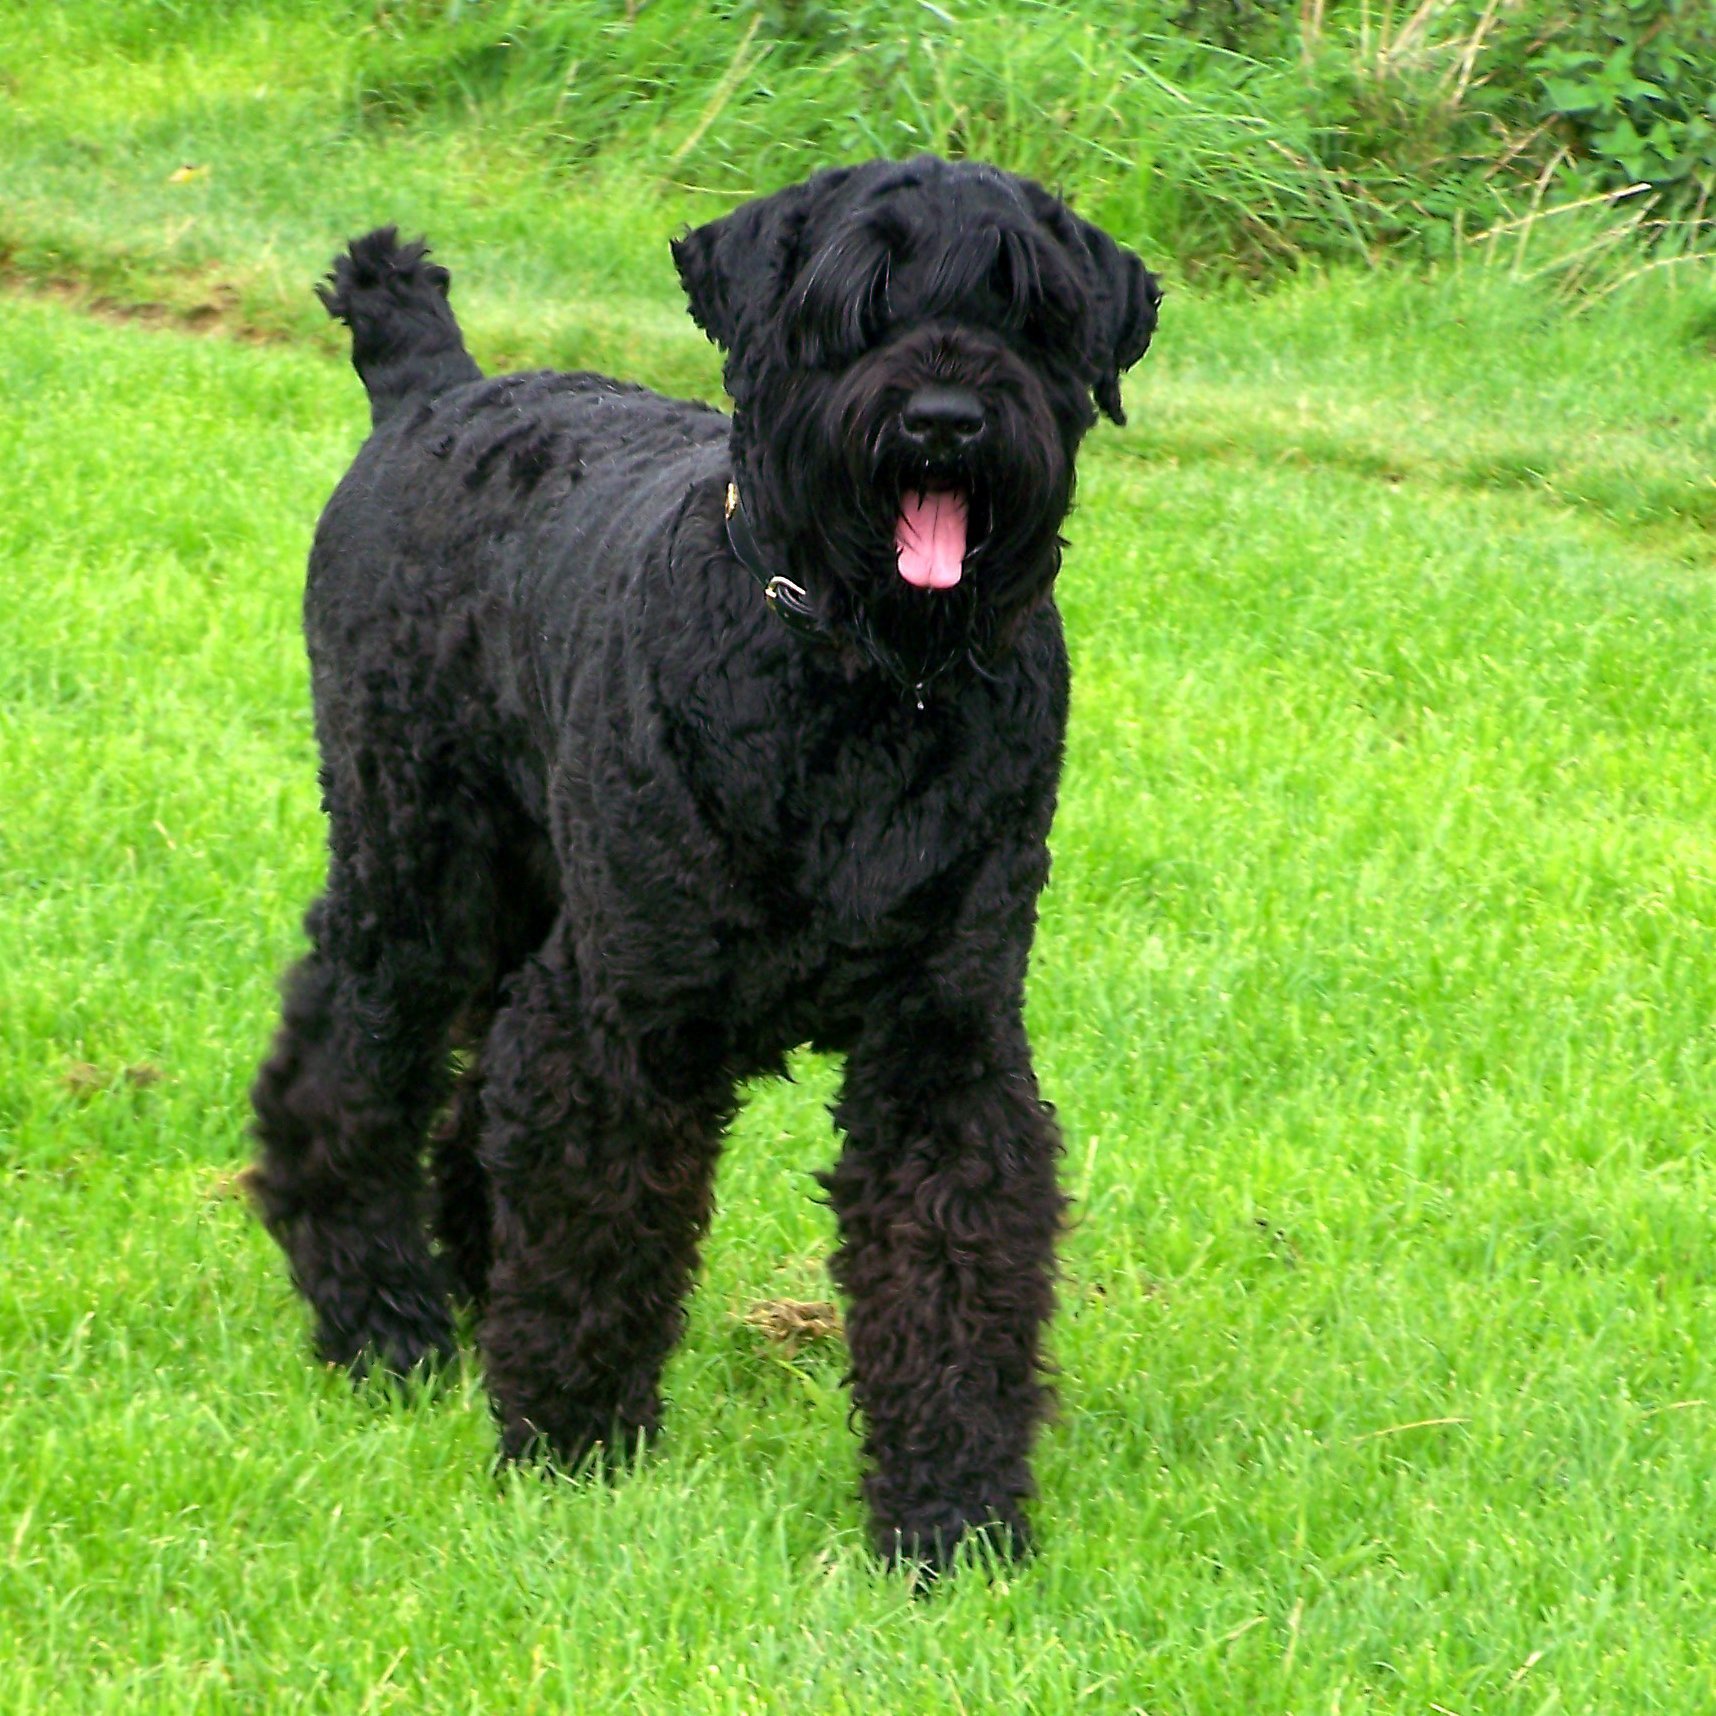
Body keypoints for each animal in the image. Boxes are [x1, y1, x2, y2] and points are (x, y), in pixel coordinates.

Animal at [249, 155, 1160, 1570]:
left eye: (1032, 311)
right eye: (855, 301)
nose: (946, 421)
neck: (858, 691)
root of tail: (436, 389)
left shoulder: (945, 1034)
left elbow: (954, 1264)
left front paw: (952, 1513)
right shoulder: (621, 1010)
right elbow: (594, 1222)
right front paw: (569, 1449)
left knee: (464, 1089)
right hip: (419, 868)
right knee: (339, 1065)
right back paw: (383, 1322)